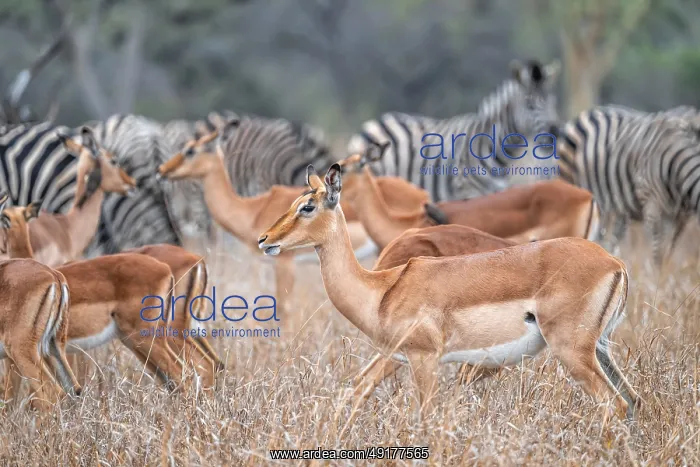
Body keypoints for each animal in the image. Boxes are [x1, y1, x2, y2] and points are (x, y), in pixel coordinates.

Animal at [258, 163, 639, 434]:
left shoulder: (423, 360)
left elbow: (424, 420)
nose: (264, 239)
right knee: (632, 400)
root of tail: (614, 263)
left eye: (308, 206)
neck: (382, 290)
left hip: (571, 352)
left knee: (614, 405)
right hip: (599, 349)